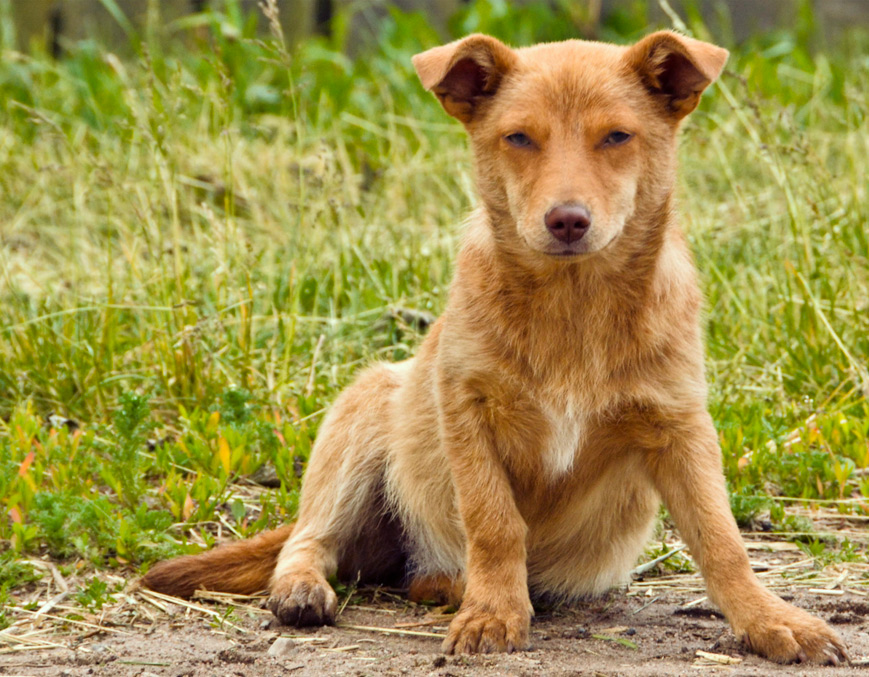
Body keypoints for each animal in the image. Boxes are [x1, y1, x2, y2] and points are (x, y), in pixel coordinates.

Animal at [144, 29, 848, 664]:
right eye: (519, 138)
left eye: (617, 137)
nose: (567, 221)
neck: (572, 306)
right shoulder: (465, 407)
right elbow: (494, 522)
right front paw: (494, 613)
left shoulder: (680, 424)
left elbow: (721, 538)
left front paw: (769, 620)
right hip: (364, 411)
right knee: (311, 539)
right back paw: (313, 590)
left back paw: (439, 584)